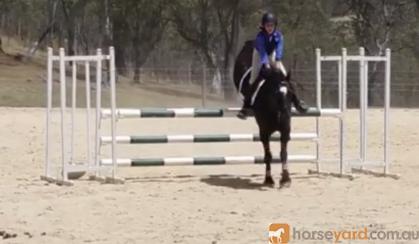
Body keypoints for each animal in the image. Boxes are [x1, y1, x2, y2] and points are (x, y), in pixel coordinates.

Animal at [235, 41, 304, 188]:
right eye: (276, 94)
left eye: (291, 94)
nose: (284, 114)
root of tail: (249, 43)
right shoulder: (264, 133)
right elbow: (268, 155)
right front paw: (268, 179)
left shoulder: (285, 131)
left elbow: (283, 154)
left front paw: (285, 179)